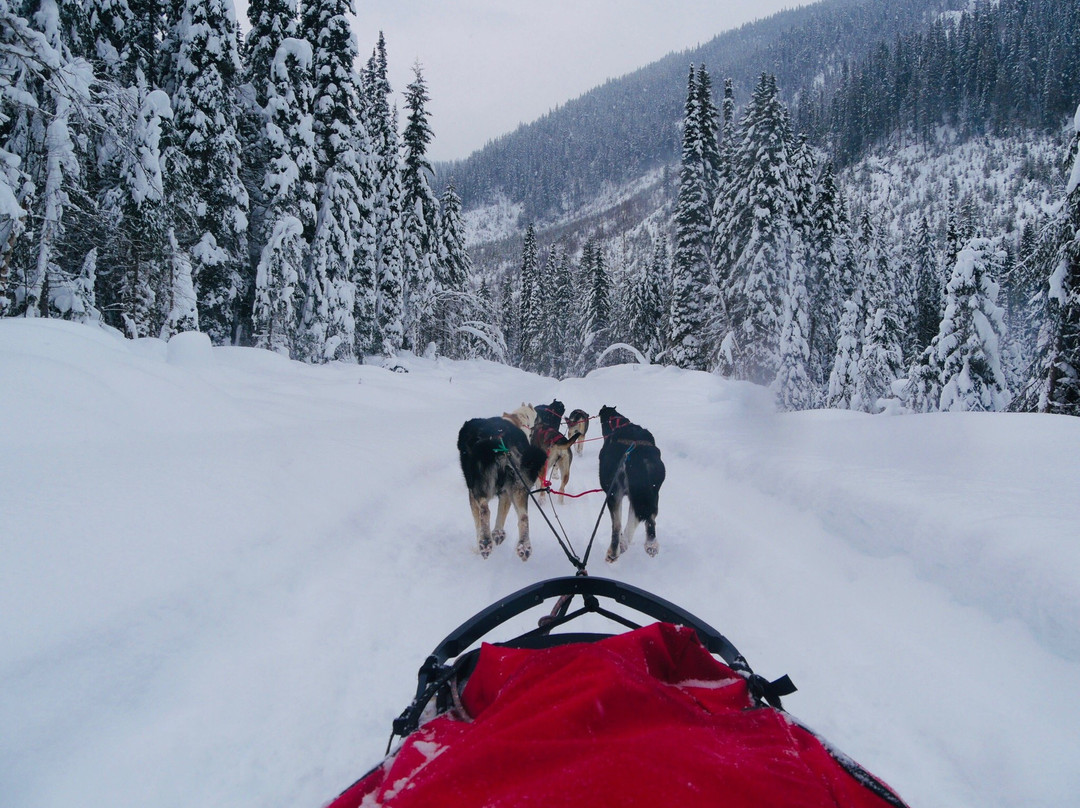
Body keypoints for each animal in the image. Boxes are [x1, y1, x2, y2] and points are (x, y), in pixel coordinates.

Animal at [457, 412, 548, 557]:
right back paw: (523, 545)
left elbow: (478, 523)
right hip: (519, 487)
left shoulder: (472, 494)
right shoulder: (506, 492)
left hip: (480, 487)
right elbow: (502, 513)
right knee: (524, 516)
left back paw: (485, 542)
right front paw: (498, 533)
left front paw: (479, 545)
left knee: (485, 510)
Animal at [596, 404, 660, 561]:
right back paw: (650, 545)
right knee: (650, 518)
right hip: (651, 493)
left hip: (614, 494)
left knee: (617, 525)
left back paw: (614, 551)